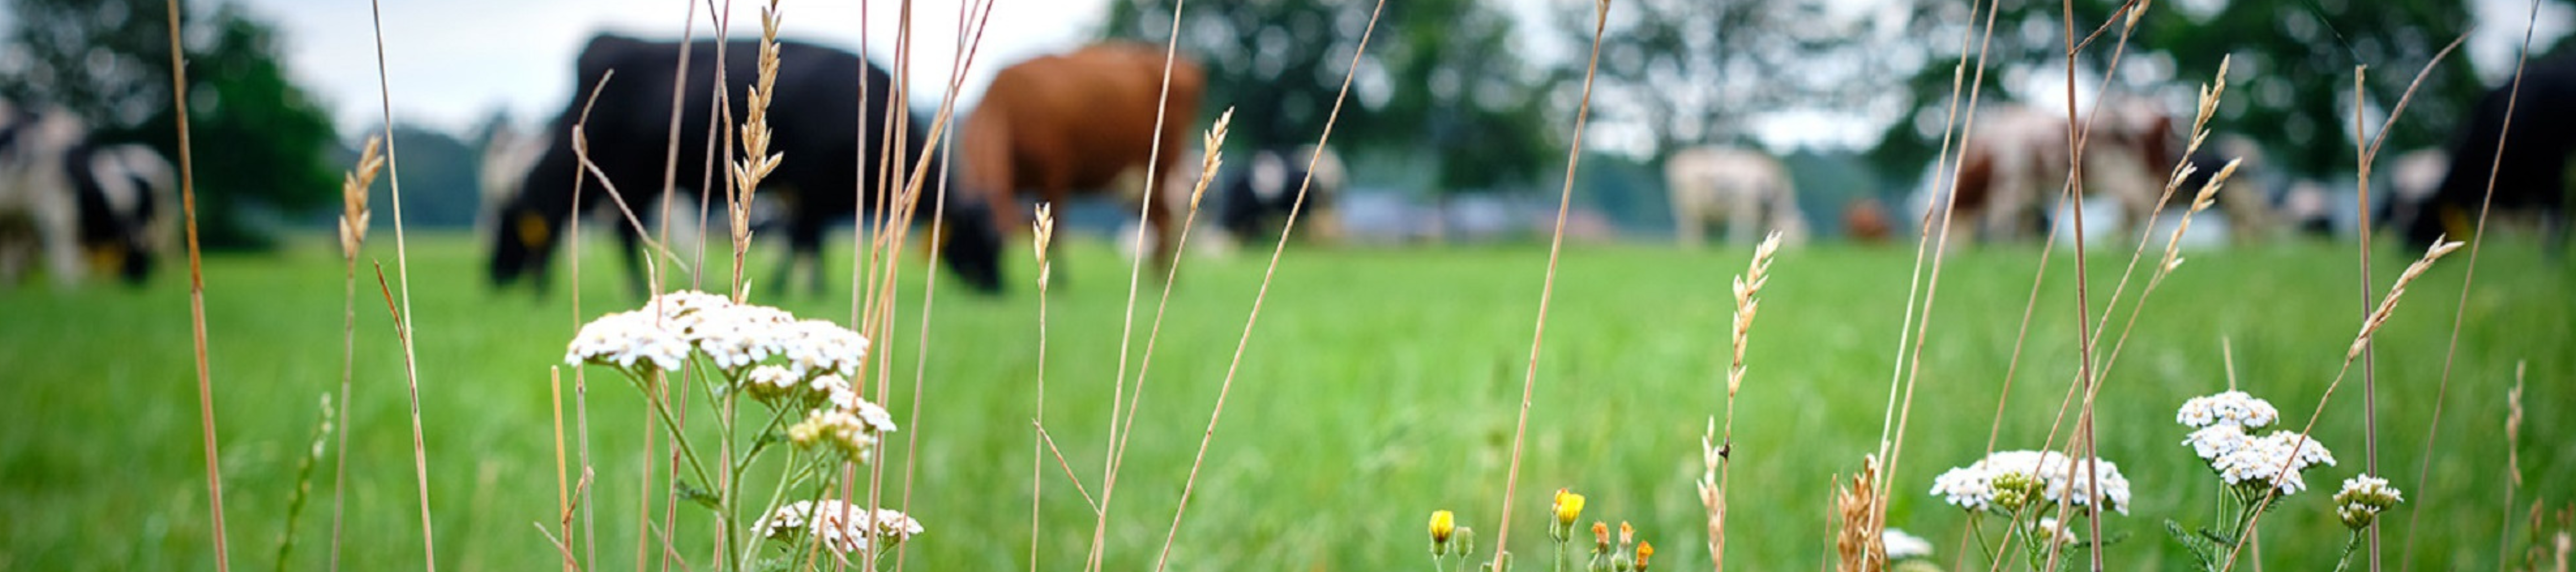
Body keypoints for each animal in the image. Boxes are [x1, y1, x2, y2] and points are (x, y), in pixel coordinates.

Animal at [486, 33, 1001, 298]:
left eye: (994, 242)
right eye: (980, 240)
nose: (1000, 289)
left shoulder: (803, 193)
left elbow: (800, 242)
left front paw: (795, 286)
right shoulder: (809, 189)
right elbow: (804, 241)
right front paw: (803, 288)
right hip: (630, 176)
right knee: (622, 235)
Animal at [957, 42, 1205, 289]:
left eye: (996, 244)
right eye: (967, 237)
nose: (993, 287)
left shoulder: (1055, 174)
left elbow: (1058, 229)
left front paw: (1061, 280)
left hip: (1163, 161)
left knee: (1164, 217)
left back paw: (1160, 279)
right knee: (1156, 216)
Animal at [1665, 145, 1807, 247]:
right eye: (1792, 230)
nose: (1796, 255)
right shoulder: (1747, 204)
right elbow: (1744, 225)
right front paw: (1739, 245)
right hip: (1687, 203)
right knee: (1690, 224)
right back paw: (1692, 246)